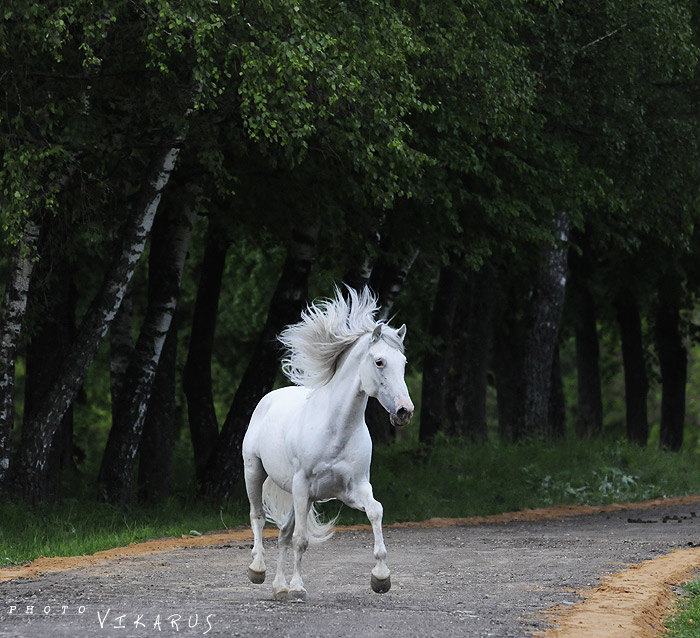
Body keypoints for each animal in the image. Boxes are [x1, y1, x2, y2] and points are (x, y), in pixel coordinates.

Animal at [242, 288, 412, 604]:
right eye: (380, 362)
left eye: (404, 363)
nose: (404, 411)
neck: (336, 430)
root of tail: (269, 398)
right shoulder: (301, 485)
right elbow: (301, 539)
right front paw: (298, 588)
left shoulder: (353, 488)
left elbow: (376, 511)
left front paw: (381, 578)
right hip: (255, 472)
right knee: (258, 517)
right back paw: (258, 570)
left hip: (303, 498)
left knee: (283, 533)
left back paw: (279, 587)